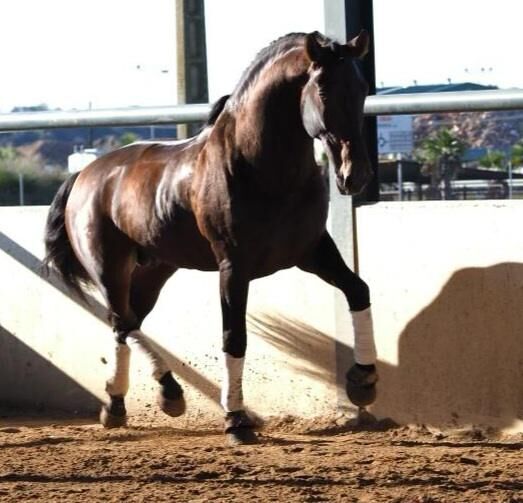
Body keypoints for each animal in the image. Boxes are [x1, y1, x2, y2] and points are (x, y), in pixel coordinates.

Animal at [44, 30, 376, 444]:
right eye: (325, 90)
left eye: (362, 89)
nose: (355, 175)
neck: (263, 170)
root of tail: (85, 175)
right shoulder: (233, 267)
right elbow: (234, 337)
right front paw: (236, 420)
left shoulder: (312, 252)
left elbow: (359, 290)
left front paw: (363, 381)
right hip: (109, 267)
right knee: (124, 320)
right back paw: (164, 394)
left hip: (154, 270)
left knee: (125, 322)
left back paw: (121, 405)